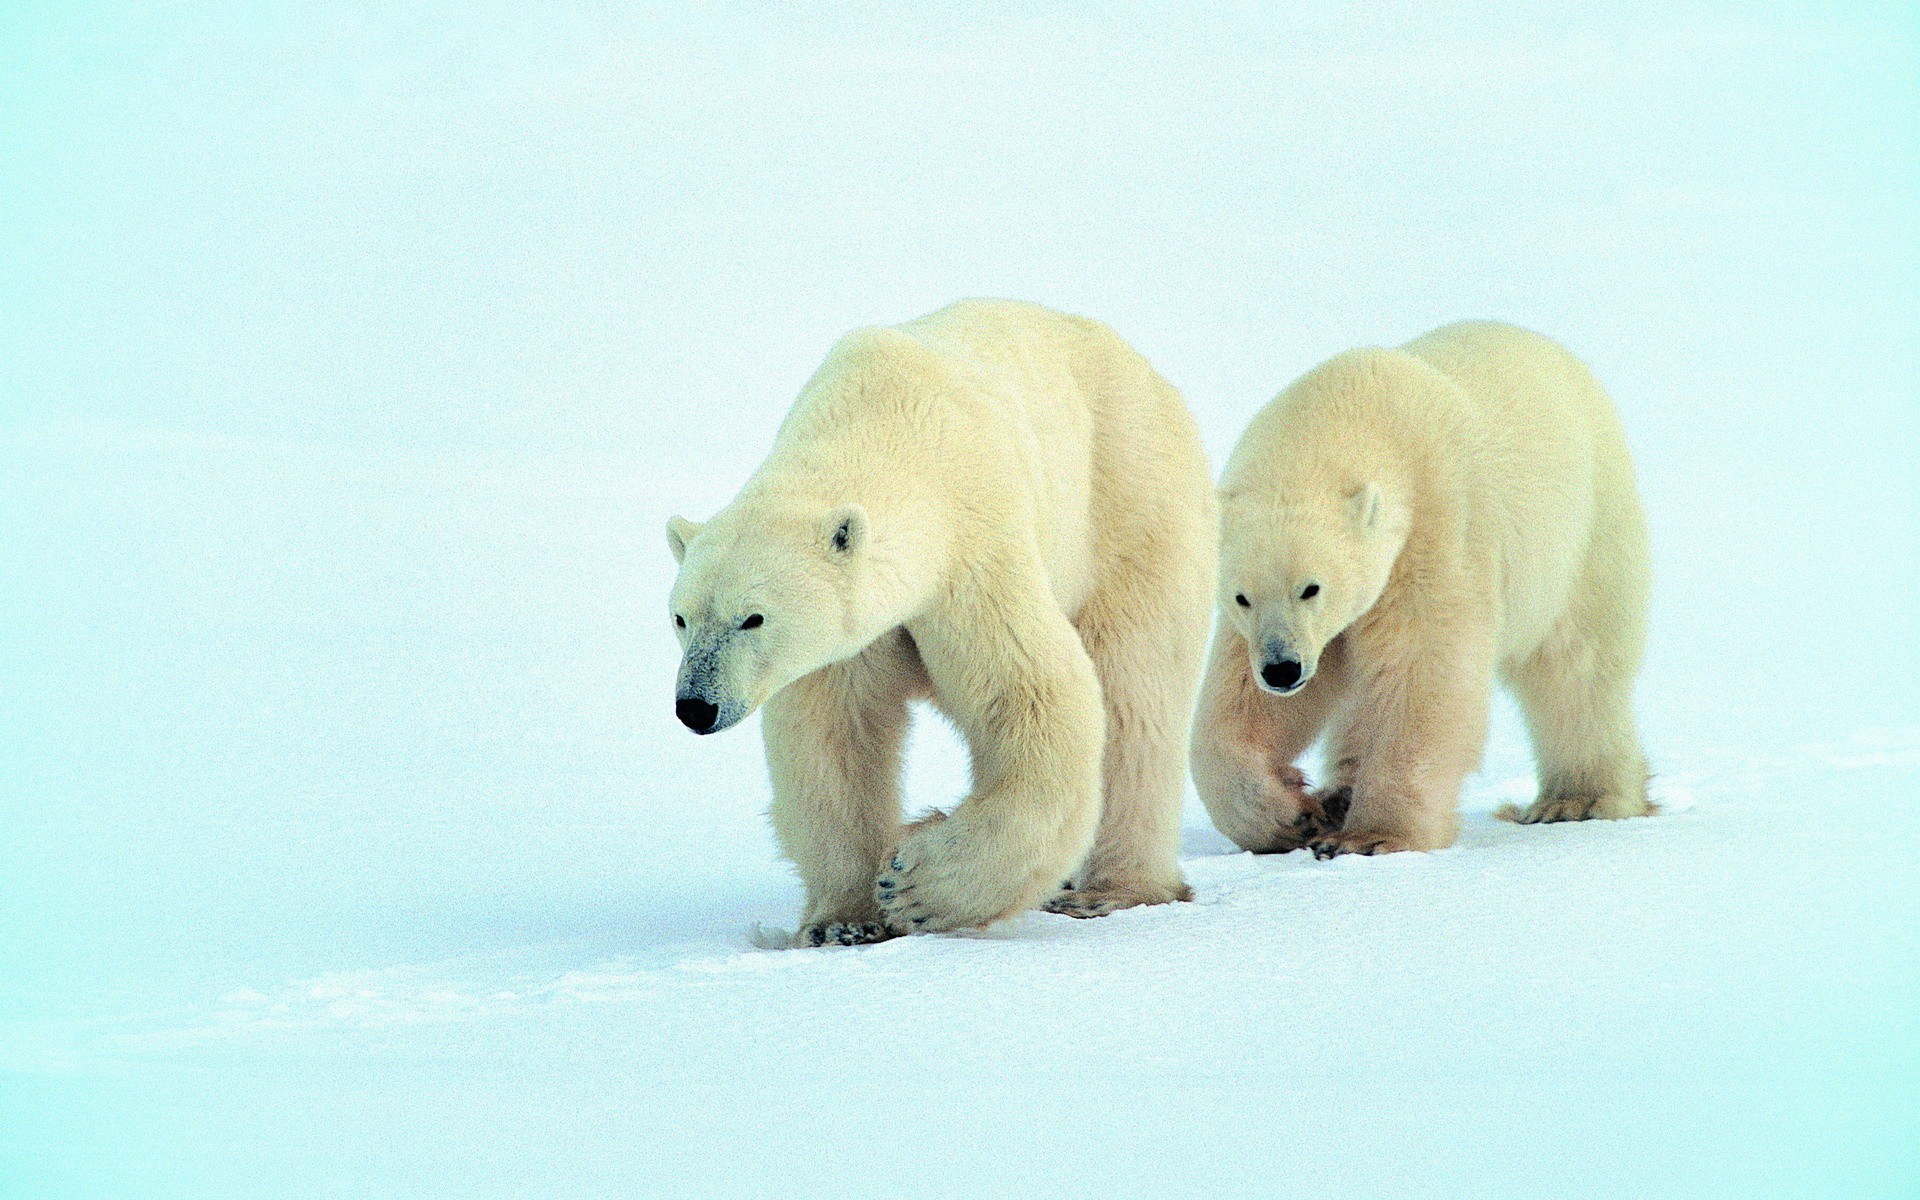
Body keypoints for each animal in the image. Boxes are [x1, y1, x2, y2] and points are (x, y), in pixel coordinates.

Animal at [666, 299, 1216, 944]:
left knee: (1136, 694)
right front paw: (844, 922)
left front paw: (916, 886)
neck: (886, 424)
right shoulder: (861, 629)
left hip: (1131, 511)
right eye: (680, 618)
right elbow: (834, 735)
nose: (696, 706)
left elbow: (1032, 693)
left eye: (752, 618)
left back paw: (1111, 890)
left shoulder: (973, 546)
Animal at [1191, 320, 1651, 859]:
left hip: (1584, 532)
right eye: (1241, 597)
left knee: (1576, 667)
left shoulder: (1437, 527)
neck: (1357, 410)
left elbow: (1421, 670)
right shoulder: (1264, 629)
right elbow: (1243, 702)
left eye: (1311, 588)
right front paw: (1295, 816)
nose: (1282, 670)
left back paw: (1577, 800)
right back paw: (1339, 793)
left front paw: (1371, 835)